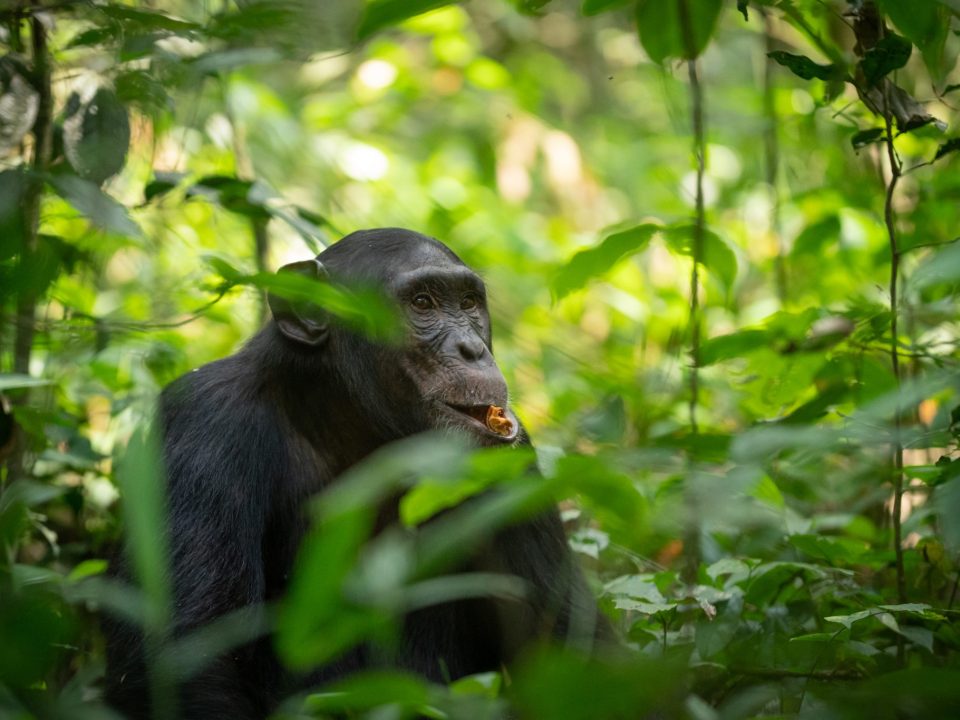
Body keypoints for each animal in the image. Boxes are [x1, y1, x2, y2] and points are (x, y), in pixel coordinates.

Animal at [105, 229, 612, 720]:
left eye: (469, 303)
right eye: (422, 303)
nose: (473, 349)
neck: (347, 425)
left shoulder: (511, 458)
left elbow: (568, 646)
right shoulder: (204, 420)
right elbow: (194, 661)